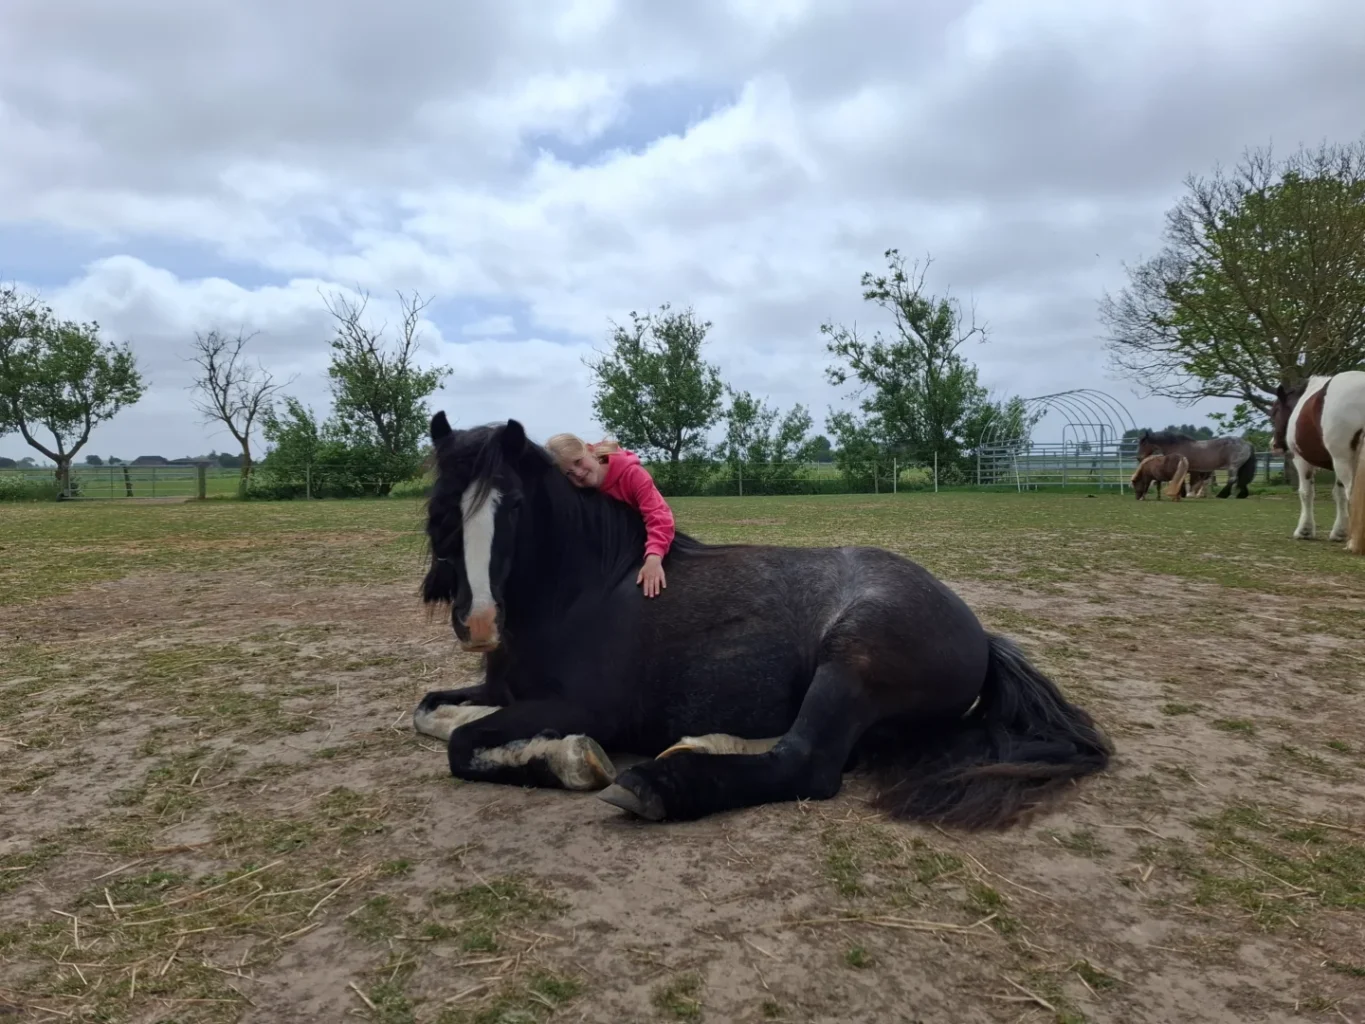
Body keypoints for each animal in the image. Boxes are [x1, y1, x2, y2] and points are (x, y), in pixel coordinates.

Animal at [412, 414, 1113, 830]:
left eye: (514, 505)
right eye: (441, 504)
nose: (478, 622)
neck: (585, 592)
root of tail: (982, 636)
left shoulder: (585, 708)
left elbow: (461, 745)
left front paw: (572, 761)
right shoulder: (499, 690)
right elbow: (428, 713)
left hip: (850, 664)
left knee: (807, 764)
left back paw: (659, 782)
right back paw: (698, 745)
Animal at [1268, 371, 1365, 554]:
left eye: (1275, 411)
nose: (1274, 445)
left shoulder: (1301, 460)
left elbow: (1306, 493)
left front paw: (1304, 531)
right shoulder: (1335, 463)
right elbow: (1339, 495)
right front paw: (1339, 533)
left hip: (1343, 461)